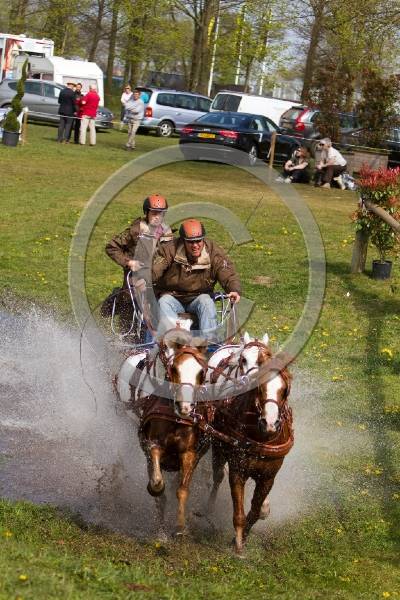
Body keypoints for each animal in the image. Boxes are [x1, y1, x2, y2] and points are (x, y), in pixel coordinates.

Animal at [207, 335, 294, 555]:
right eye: (260, 389)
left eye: (285, 390)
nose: (270, 423)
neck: (262, 437)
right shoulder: (238, 470)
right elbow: (238, 510)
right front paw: (238, 544)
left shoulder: (269, 476)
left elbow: (255, 510)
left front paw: (246, 532)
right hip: (217, 446)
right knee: (218, 475)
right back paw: (207, 508)